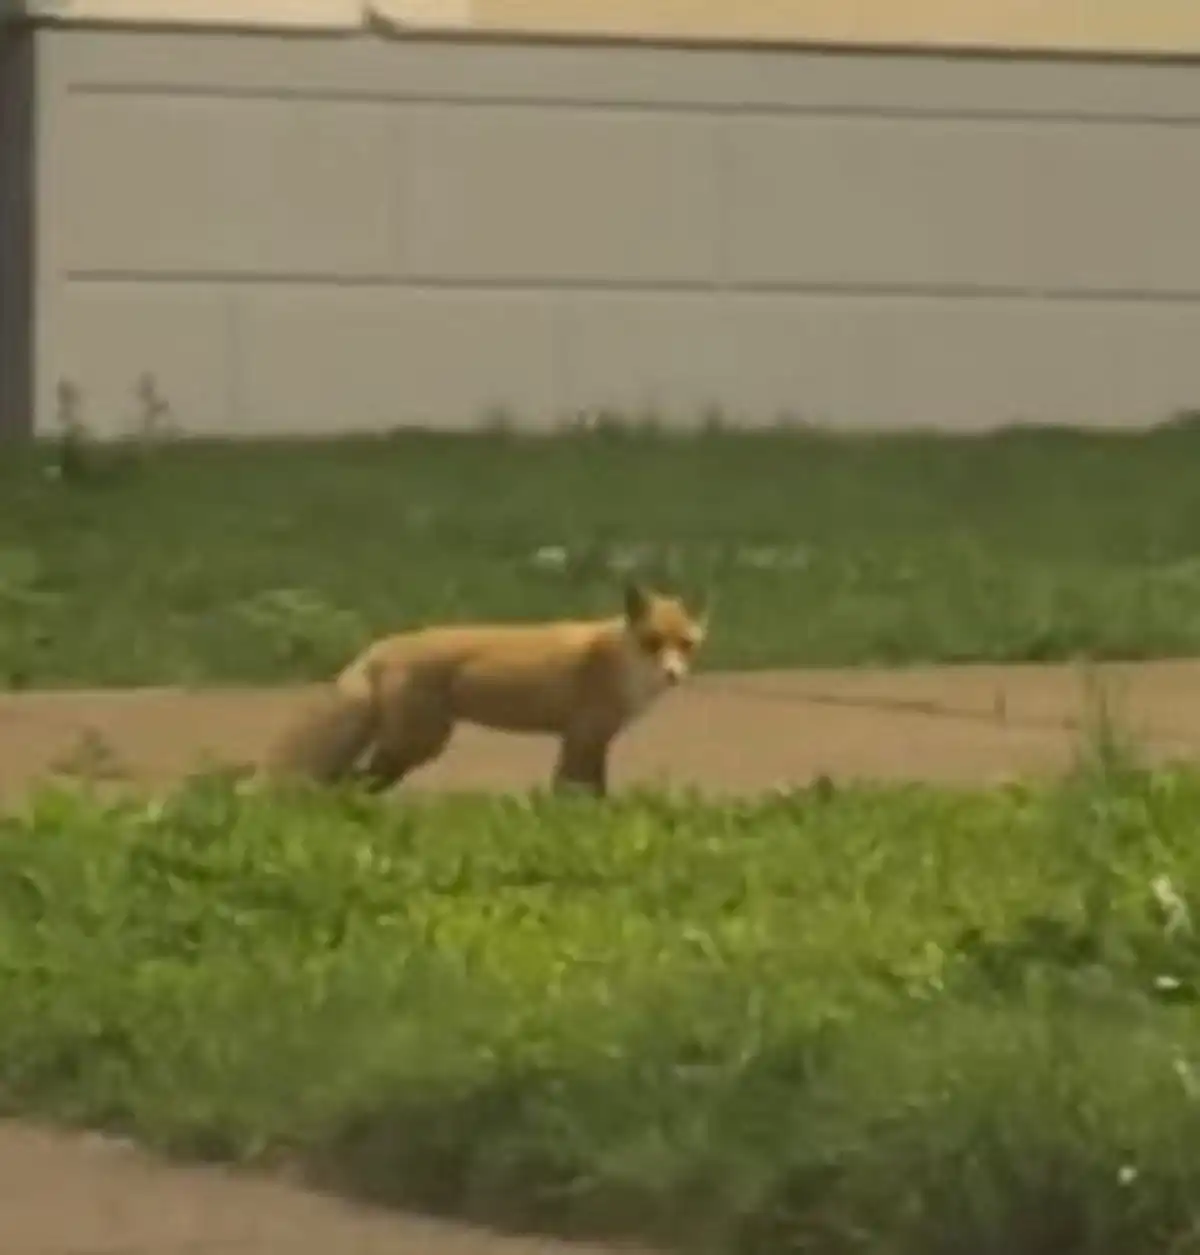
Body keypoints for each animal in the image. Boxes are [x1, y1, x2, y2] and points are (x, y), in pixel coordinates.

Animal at [257, 581, 708, 797]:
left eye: (685, 644)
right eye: (653, 642)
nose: (673, 674)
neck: (617, 661)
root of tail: (382, 644)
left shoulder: (590, 739)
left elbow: (583, 791)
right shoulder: (583, 735)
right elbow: (576, 792)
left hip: (413, 744)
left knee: (346, 779)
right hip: (417, 744)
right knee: (352, 780)